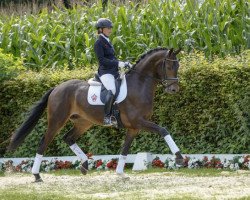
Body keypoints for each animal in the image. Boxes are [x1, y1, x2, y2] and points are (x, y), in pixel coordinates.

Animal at [8, 47, 184, 182]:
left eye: (178, 66)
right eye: (169, 66)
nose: (174, 89)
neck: (139, 84)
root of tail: (57, 88)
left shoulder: (134, 128)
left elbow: (125, 149)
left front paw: (120, 174)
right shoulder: (139, 122)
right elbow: (163, 130)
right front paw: (179, 158)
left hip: (84, 122)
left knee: (68, 138)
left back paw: (85, 165)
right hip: (57, 120)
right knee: (44, 142)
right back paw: (37, 175)